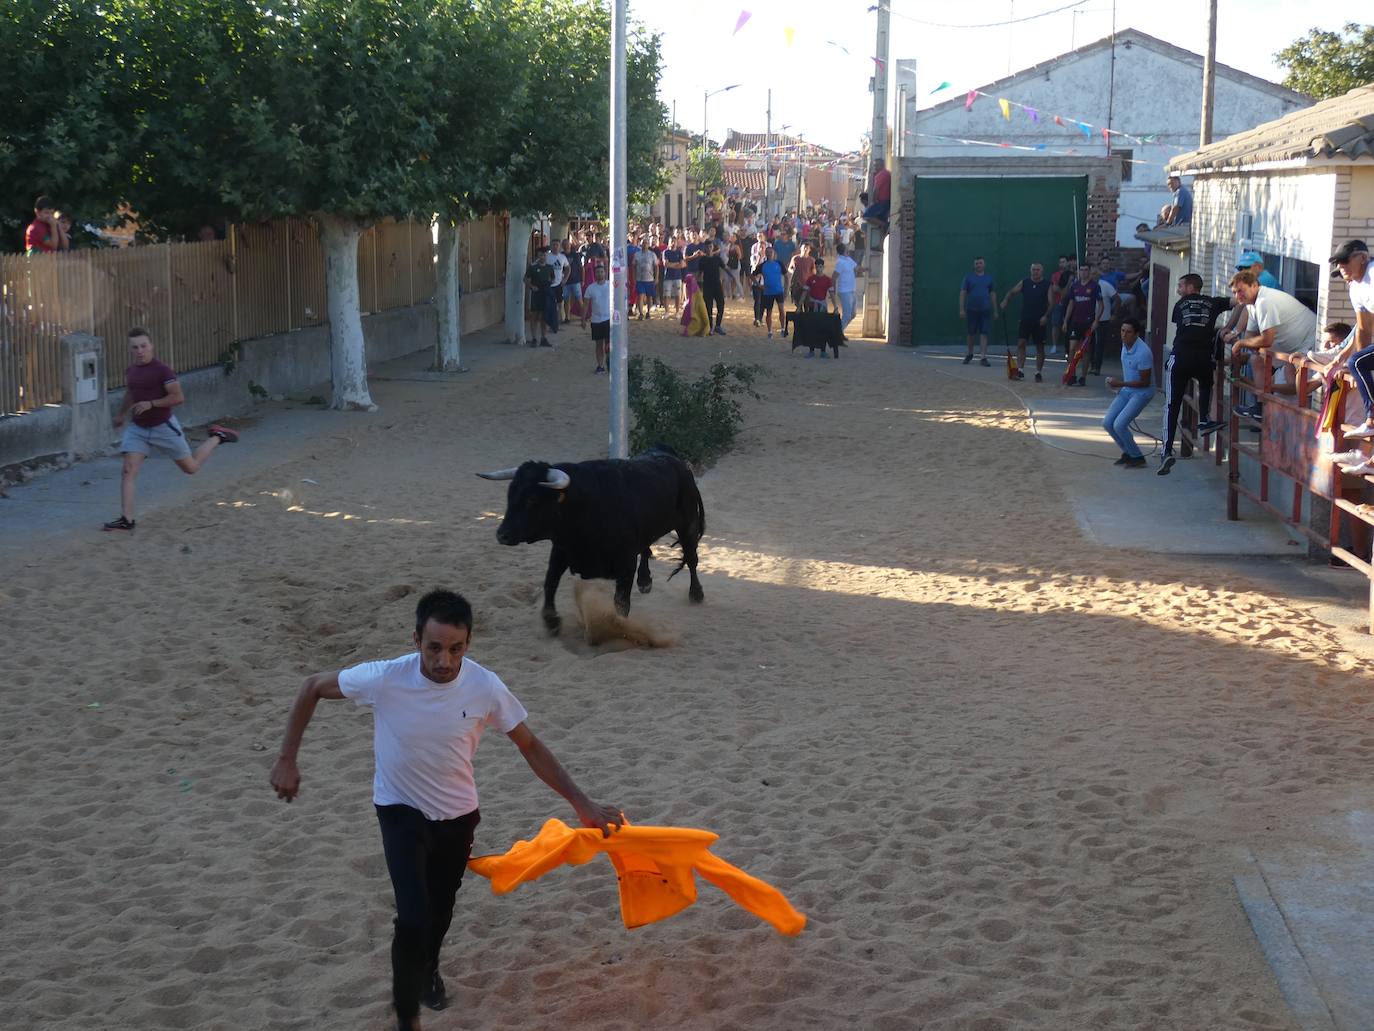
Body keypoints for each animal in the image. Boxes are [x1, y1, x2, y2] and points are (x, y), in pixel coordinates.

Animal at [475, 448, 708, 635]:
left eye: (532, 499)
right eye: (510, 494)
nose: (502, 534)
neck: (584, 505)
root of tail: (676, 461)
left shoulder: (625, 563)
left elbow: (621, 602)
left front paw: (620, 630)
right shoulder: (562, 550)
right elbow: (550, 582)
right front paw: (551, 622)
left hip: (688, 524)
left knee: (691, 558)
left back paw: (696, 593)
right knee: (648, 548)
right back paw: (645, 581)